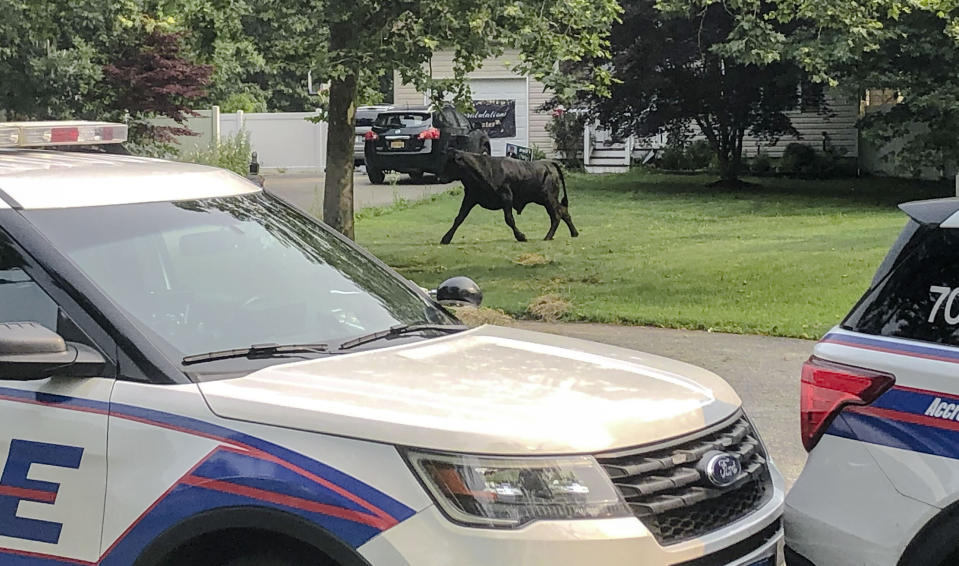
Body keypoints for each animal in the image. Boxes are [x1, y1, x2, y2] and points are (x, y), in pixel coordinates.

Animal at [440, 150, 576, 245]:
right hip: (545, 199)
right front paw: (446, 238)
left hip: (549, 199)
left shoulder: (507, 197)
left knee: (556, 215)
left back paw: (548, 237)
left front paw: (521, 236)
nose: (439, 178)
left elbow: (509, 219)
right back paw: (574, 233)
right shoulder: (470, 198)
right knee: (564, 212)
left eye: (450, 162)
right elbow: (459, 218)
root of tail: (548, 163)